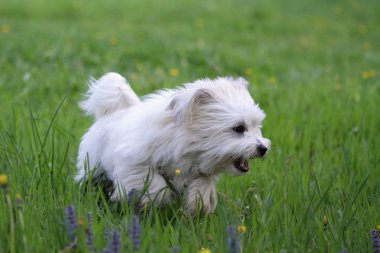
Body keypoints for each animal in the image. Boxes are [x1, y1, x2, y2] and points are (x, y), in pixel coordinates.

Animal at [75, 72, 268, 214]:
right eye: (239, 128)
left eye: (256, 126)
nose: (263, 148)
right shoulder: (135, 163)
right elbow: (155, 183)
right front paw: (153, 201)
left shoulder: (200, 172)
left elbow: (202, 187)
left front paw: (197, 206)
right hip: (93, 166)